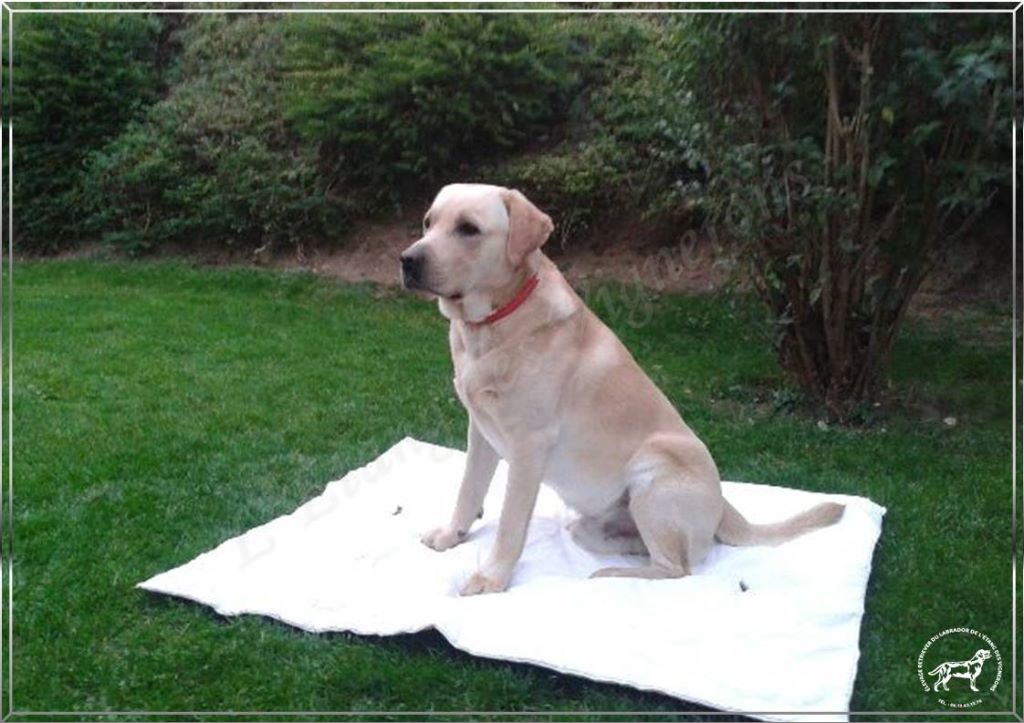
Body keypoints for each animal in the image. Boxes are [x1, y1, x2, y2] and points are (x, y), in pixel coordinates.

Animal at [397, 183, 839, 593]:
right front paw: (452, 536)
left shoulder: (528, 446)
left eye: (468, 229)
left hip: (652, 473)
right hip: (593, 523)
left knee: (677, 568)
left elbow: (509, 523)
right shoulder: (481, 431)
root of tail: (724, 505)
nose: (407, 260)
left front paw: (492, 578)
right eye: (428, 222)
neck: (492, 324)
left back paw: (610, 576)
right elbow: (468, 490)